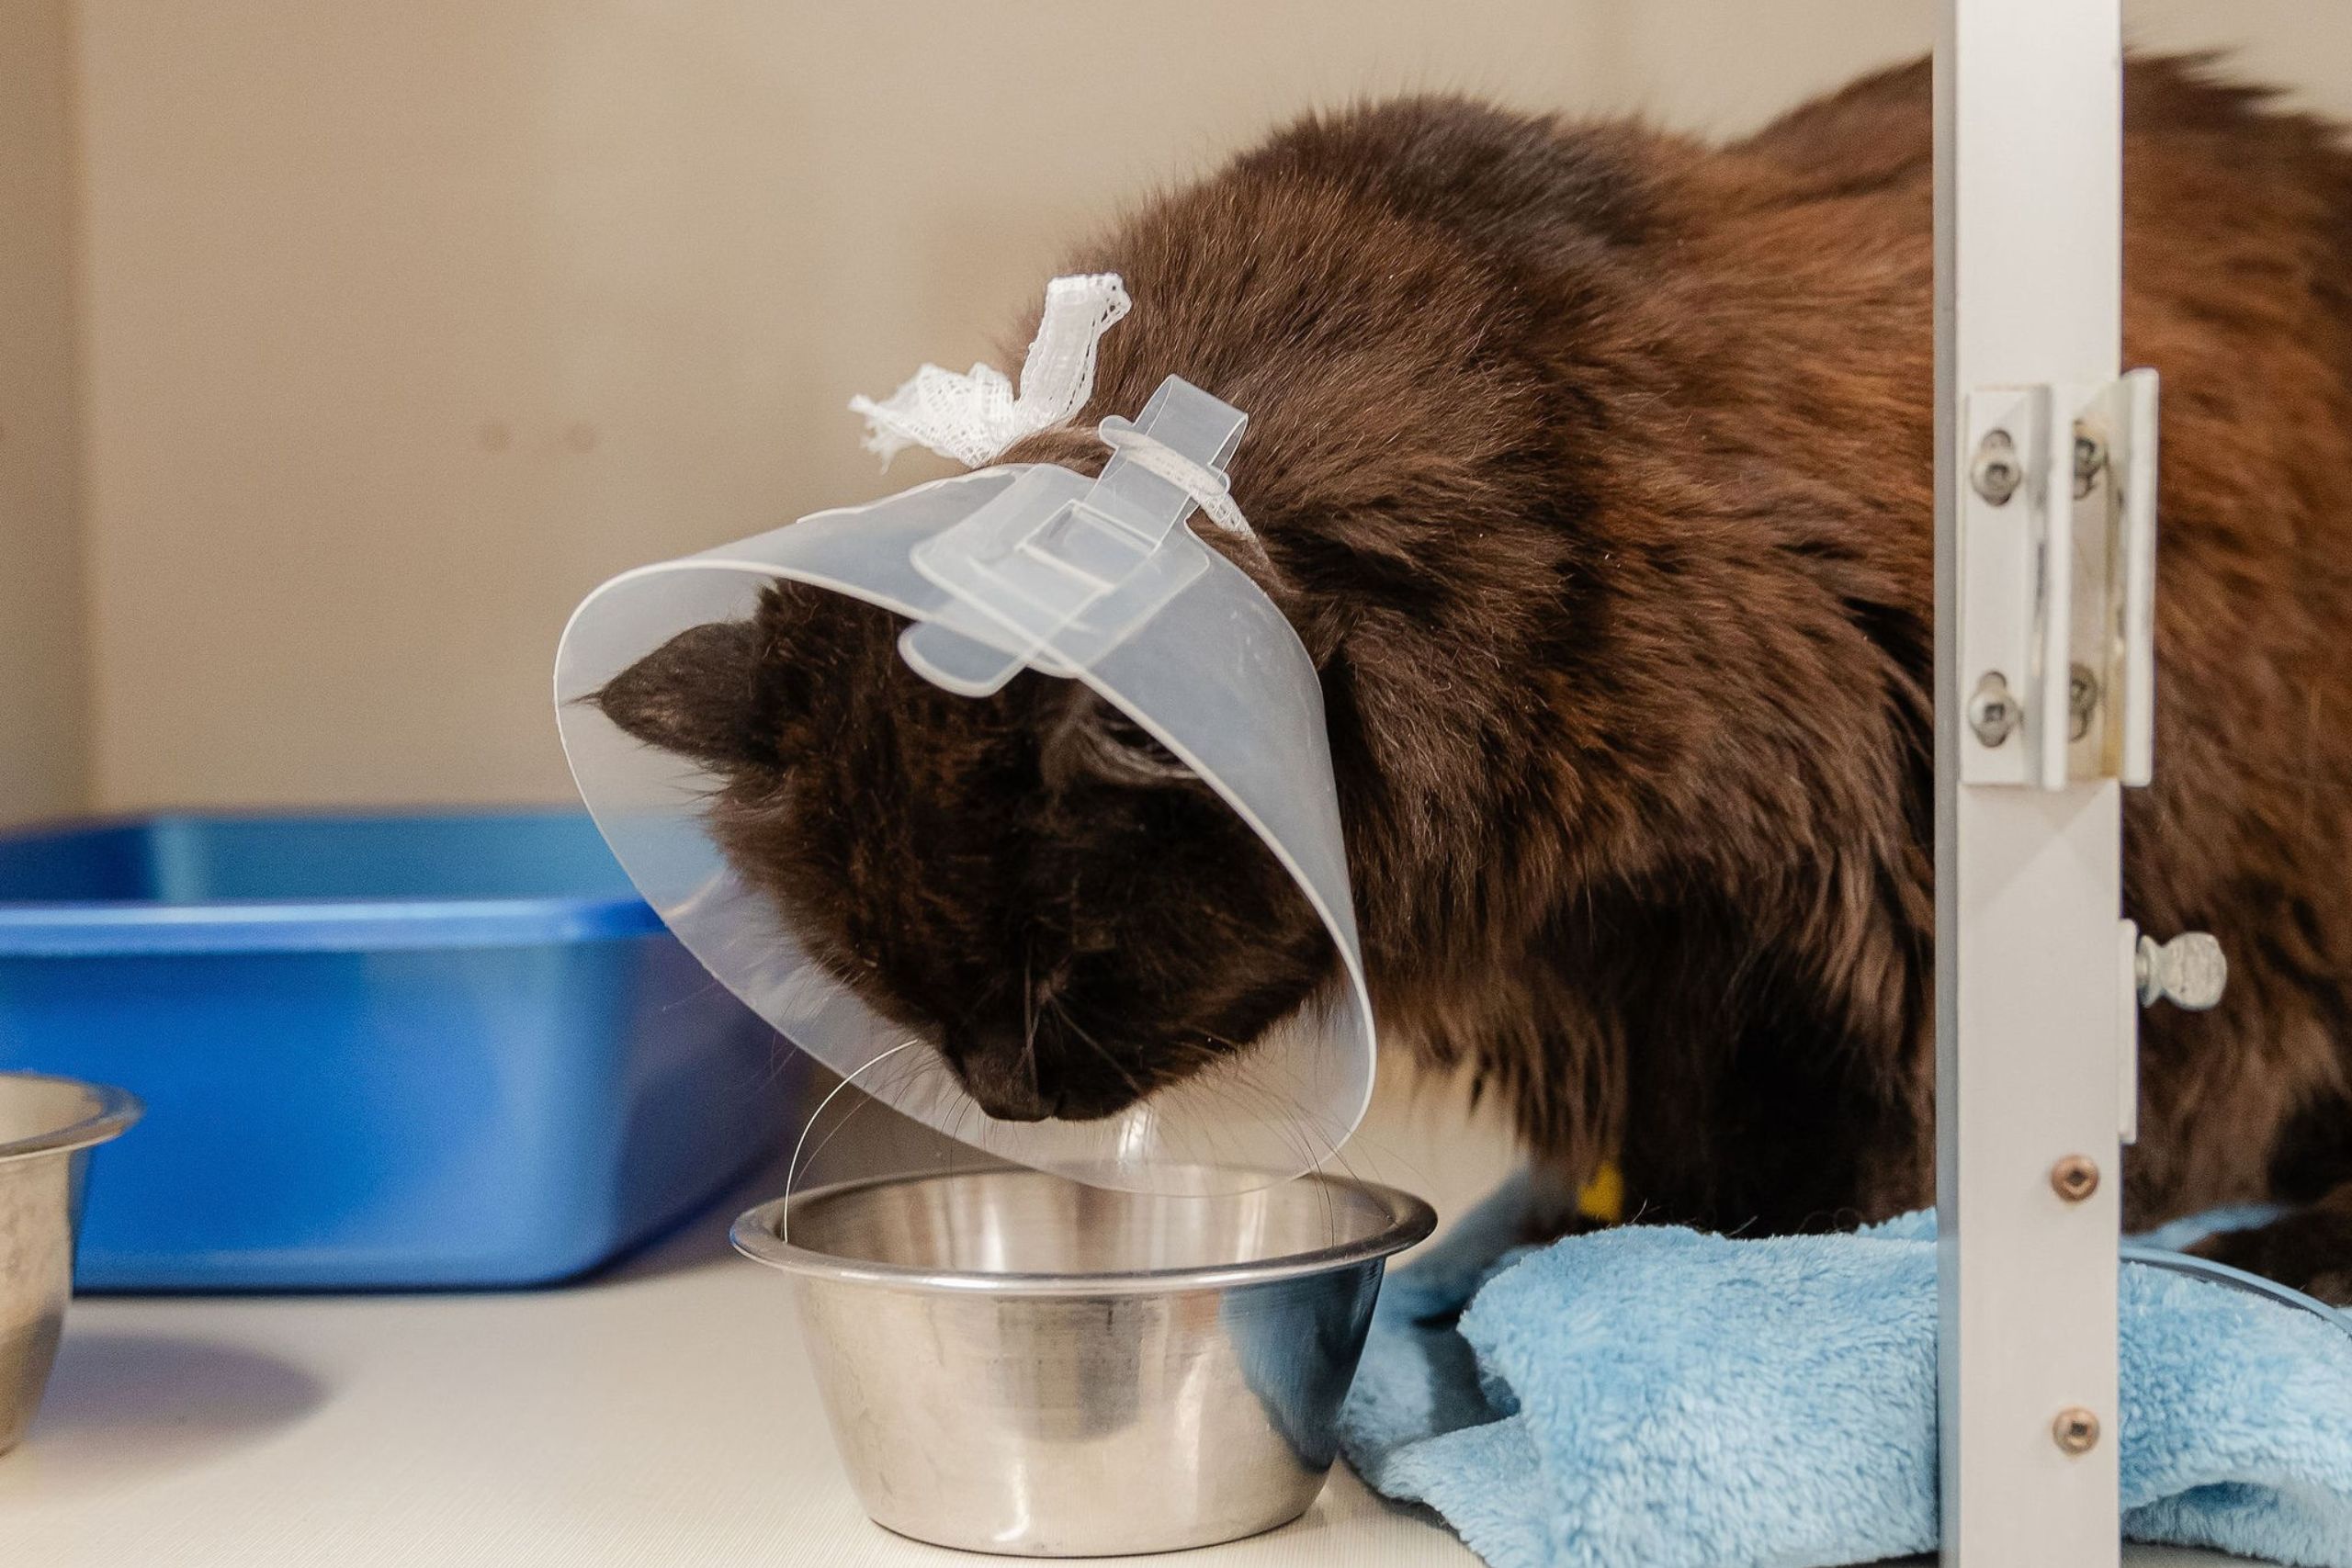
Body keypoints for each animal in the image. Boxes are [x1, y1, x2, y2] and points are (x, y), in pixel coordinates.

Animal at [593, 58, 2352, 1297]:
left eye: (1076, 967)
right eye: (885, 973)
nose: (1004, 1097)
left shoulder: (1816, 888)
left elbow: (1827, 1127)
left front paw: (1750, 1253)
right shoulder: (1611, 964)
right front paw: (1593, 1243)